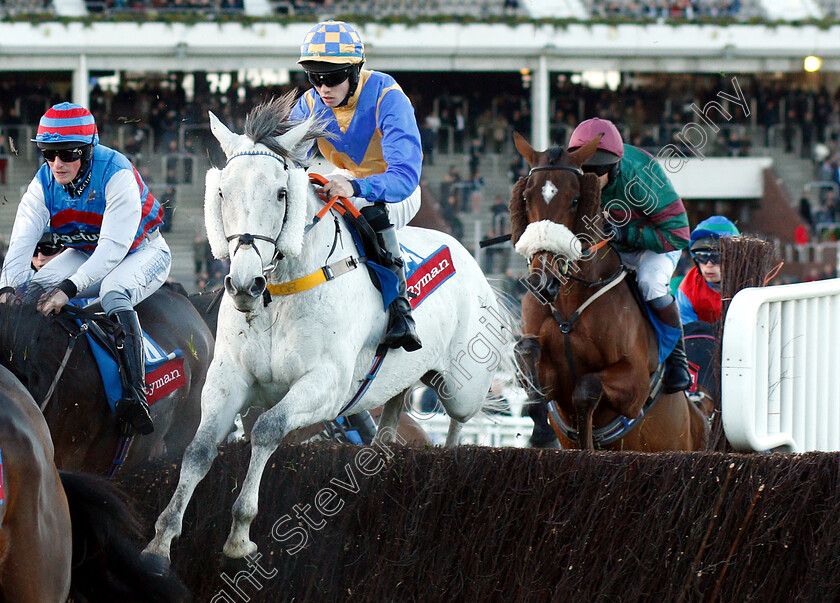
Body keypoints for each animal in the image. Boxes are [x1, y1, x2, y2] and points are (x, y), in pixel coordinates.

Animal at [144, 94, 512, 568]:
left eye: (281, 193)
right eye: (222, 191)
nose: (244, 284)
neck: (282, 293)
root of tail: (470, 261)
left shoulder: (326, 384)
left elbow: (268, 429)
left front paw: (241, 534)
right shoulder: (229, 378)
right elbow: (199, 448)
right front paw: (161, 540)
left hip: (461, 388)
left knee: (458, 425)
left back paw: (451, 459)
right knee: (395, 407)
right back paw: (384, 446)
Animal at [506, 133, 708, 452]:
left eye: (576, 199)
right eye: (526, 197)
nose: (542, 282)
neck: (568, 302)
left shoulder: (634, 384)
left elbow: (586, 389)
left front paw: (585, 442)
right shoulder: (551, 374)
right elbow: (529, 361)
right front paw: (542, 432)